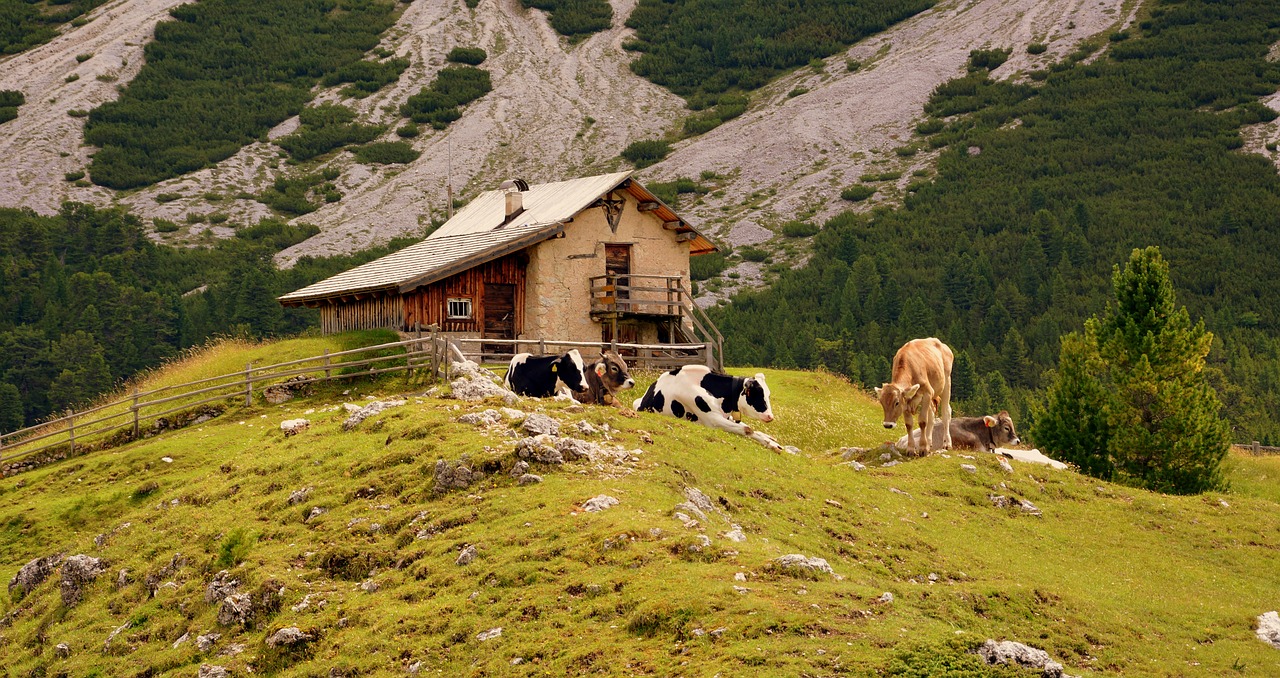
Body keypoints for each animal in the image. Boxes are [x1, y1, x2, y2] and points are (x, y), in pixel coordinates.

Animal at [629, 363, 778, 447]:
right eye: (757, 394)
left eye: (768, 394)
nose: (770, 417)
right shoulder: (712, 420)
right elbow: (747, 429)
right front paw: (770, 445)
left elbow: (747, 427)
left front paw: (772, 442)